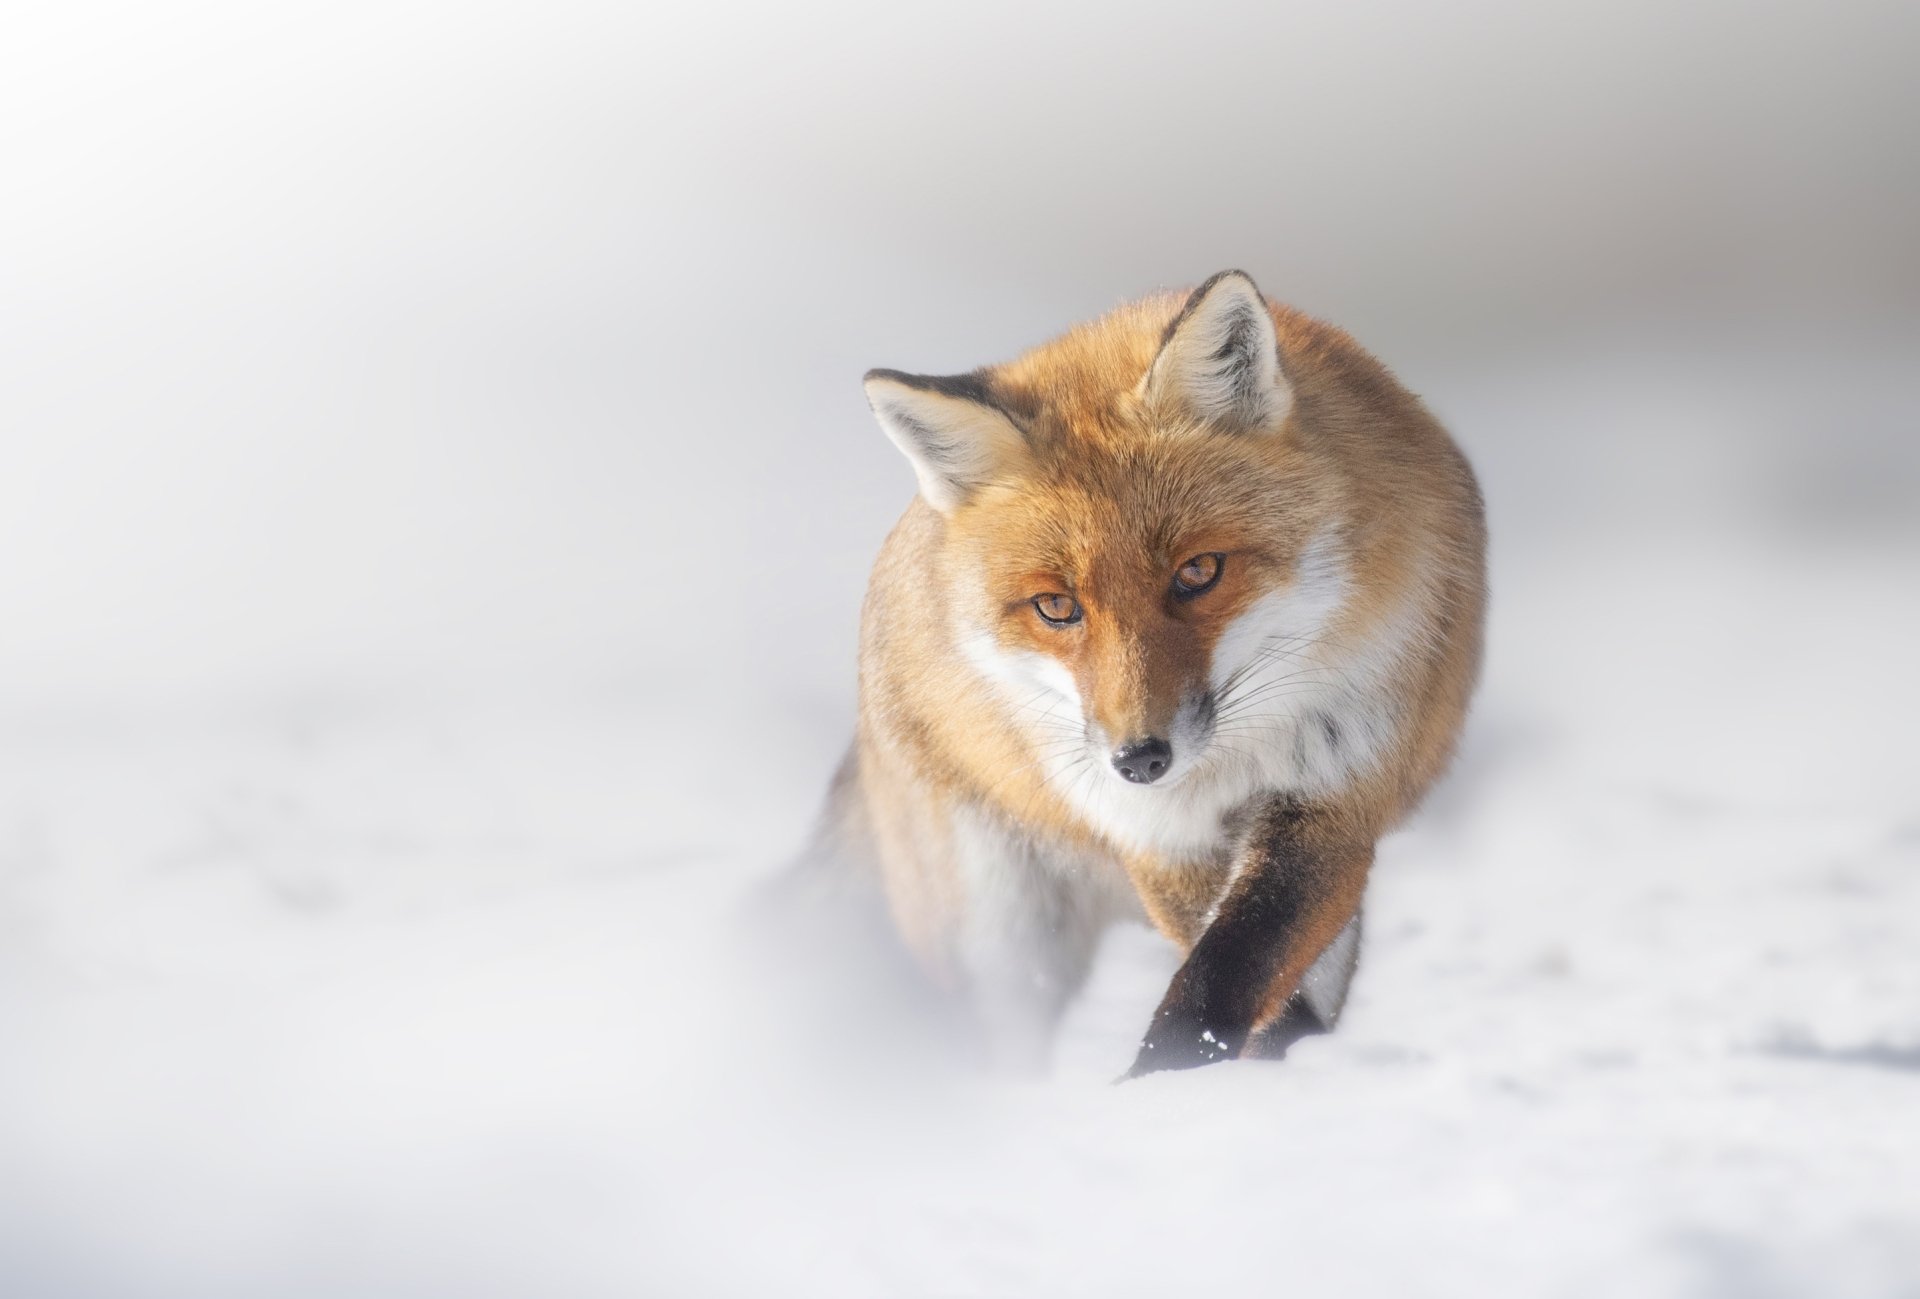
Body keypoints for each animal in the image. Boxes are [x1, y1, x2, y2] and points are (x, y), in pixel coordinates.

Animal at [799, 270, 1485, 1077]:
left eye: (1198, 572)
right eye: (1057, 606)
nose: (1140, 758)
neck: (1229, 766)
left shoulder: (1335, 795)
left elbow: (1235, 964)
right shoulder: (1154, 836)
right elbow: (1223, 971)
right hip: (1004, 938)